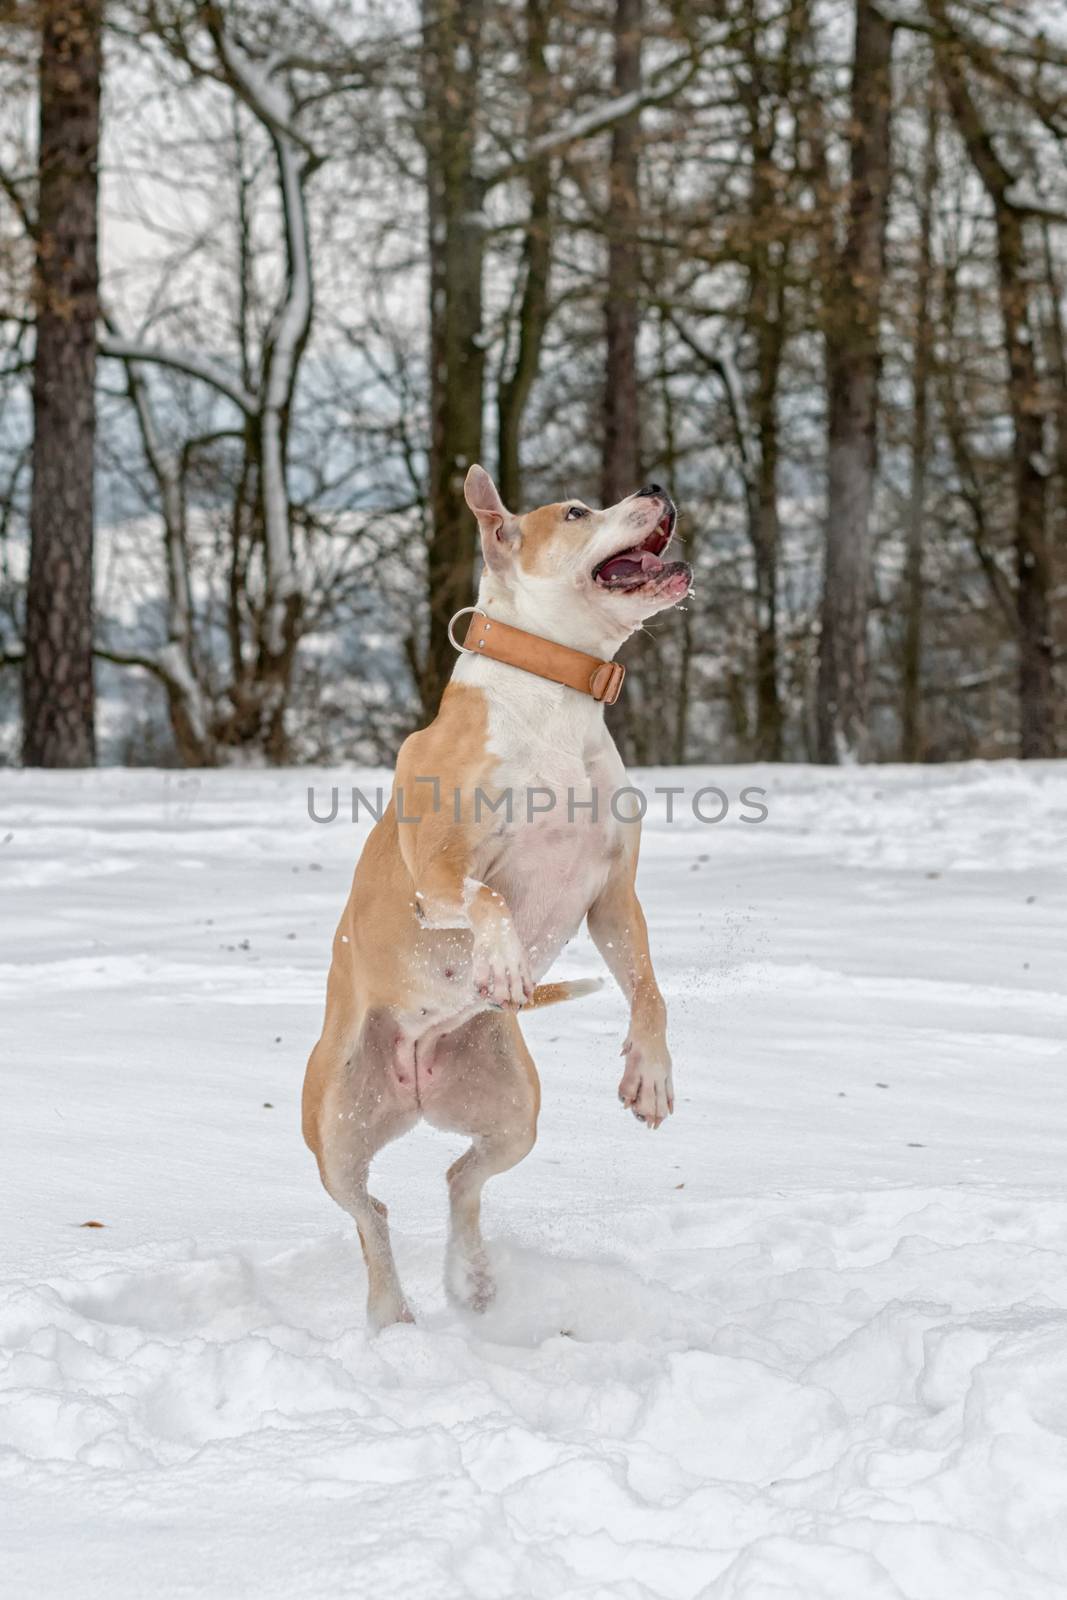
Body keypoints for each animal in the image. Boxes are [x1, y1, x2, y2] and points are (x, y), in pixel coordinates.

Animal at [303, 464, 697, 1324]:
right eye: (577, 511)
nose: (657, 485)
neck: (558, 698)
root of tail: (416, 1077)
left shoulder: (613, 895)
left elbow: (649, 989)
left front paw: (649, 1074)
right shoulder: (437, 870)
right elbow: (489, 898)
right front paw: (506, 964)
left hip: (514, 1112)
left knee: (460, 1176)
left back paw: (473, 1279)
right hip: (333, 1120)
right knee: (366, 1210)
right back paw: (391, 1315)